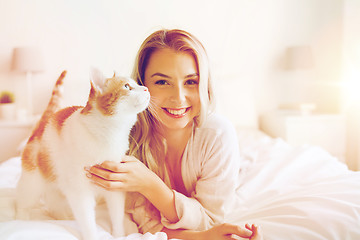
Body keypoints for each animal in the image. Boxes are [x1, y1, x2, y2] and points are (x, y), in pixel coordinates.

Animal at [15, 68, 150, 240]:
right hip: (33, 183)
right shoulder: (80, 193)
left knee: (53, 201)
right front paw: (92, 236)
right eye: (127, 86)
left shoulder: (115, 185)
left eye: (137, 84)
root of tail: (43, 123)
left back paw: (62, 217)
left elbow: (117, 216)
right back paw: (21, 220)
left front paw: (118, 235)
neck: (108, 135)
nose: (146, 88)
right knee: (23, 202)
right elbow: (87, 221)